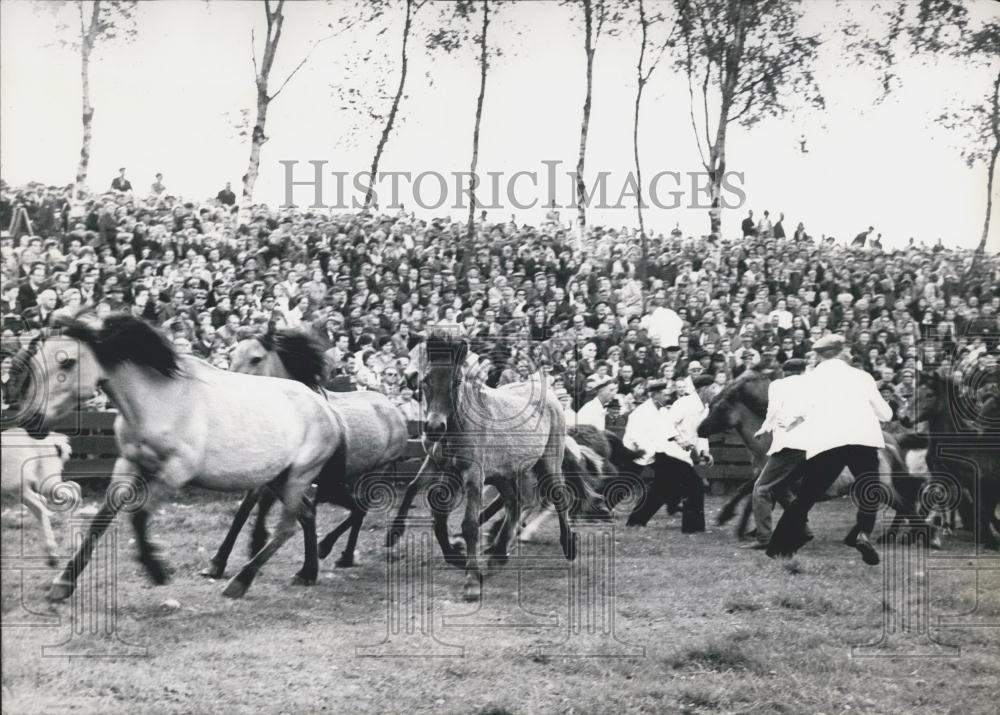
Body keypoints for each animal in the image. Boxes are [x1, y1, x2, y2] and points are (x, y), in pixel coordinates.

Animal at [21, 316, 346, 600]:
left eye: (67, 361)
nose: (31, 420)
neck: (159, 401)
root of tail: (327, 408)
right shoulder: (128, 463)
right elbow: (101, 520)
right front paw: (64, 582)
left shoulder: (177, 471)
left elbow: (139, 515)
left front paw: (156, 569)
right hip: (279, 477)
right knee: (306, 514)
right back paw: (307, 573)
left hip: (298, 476)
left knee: (287, 526)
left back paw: (241, 581)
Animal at [207, 328, 410, 572]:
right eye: (230, 356)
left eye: (256, 359)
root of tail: (394, 409)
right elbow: (246, 509)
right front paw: (222, 561)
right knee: (357, 509)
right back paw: (340, 553)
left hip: (378, 469)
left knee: (360, 508)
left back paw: (335, 550)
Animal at [422, 332, 580, 600]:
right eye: (425, 380)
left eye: (456, 382)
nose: (434, 427)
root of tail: (548, 393)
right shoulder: (449, 472)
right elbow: (438, 513)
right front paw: (456, 556)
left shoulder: (474, 474)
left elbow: (469, 524)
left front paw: (471, 581)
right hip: (506, 474)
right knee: (515, 503)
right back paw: (497, 556)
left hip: (548, 463)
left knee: (558, 496)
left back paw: (568, 544)